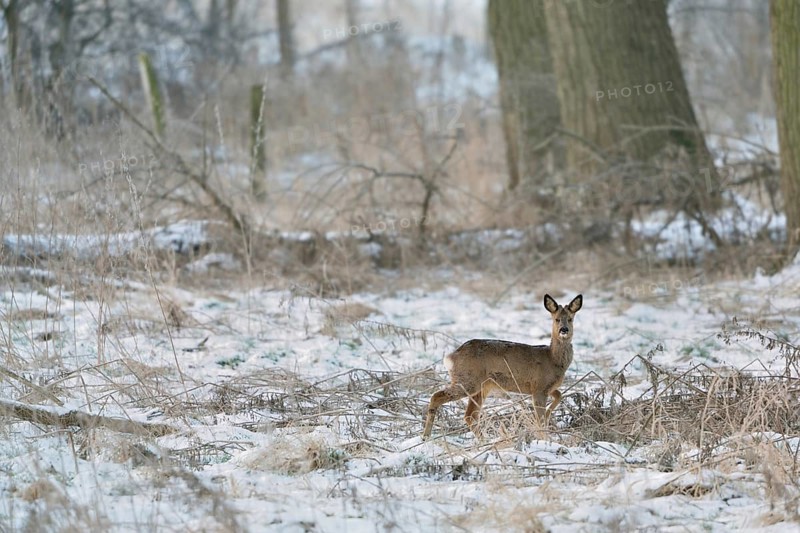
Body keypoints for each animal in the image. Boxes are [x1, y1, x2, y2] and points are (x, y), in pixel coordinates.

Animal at [422, 293, 582, 439]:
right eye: (556, 319)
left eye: (570, 319)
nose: (564, 330)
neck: (552, 359)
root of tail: (451, 356)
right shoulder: (538, 387)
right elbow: (540, 419)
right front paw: (545, 437)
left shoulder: (547, 388)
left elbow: (559, 395)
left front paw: (549, 415)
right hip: (468, 380)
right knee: (437, 396)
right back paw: (426, 436)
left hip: (481, 387)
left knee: (470, 416)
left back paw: (484, 441)